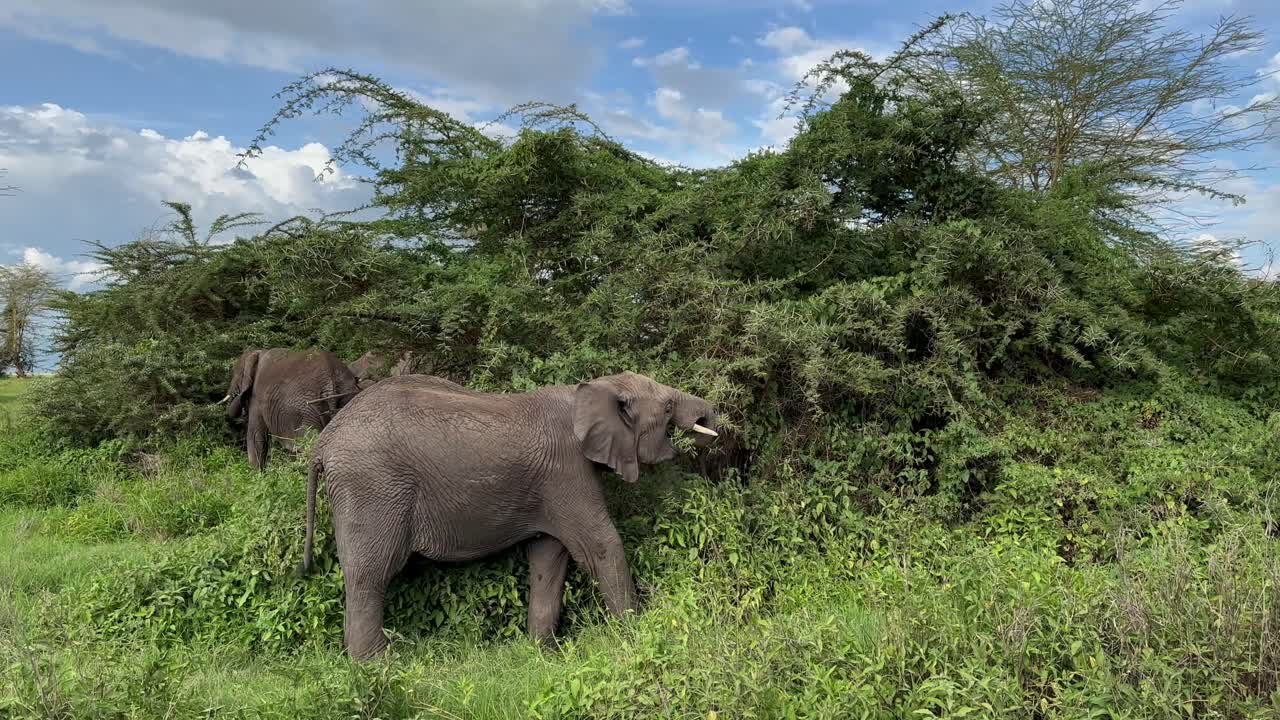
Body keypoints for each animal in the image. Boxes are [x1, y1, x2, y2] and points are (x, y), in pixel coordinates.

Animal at [219, 348, 362, 470]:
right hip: (347, 397)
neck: (258, 353)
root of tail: (330, 379)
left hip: (306, 411)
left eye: (236, 376)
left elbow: (255, 436)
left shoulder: (257, 398)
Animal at [299, 371, 719, 660]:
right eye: (667, 408)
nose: (710, 427)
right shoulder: (567, 472)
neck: (593, 388)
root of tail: (323, 443)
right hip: (372, 488)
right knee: (371, 571)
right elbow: (600, 546)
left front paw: (544, 655)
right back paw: (379, 665)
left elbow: (548, 556)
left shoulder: (549, 487)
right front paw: (637, 636)